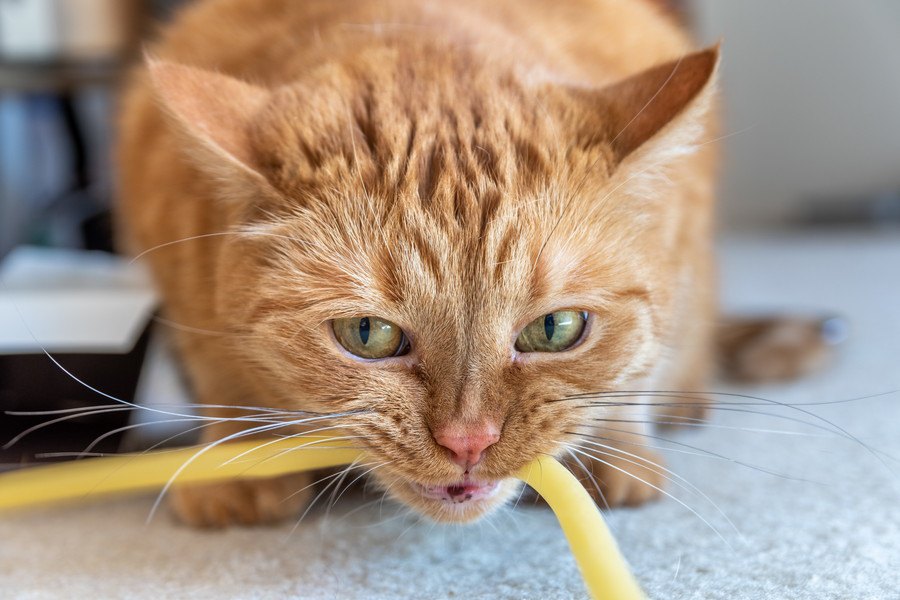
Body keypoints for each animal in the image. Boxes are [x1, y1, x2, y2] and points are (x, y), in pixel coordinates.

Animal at [118, 0, 716, 524]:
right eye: (367, 333)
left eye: (555, 328)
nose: (469, 442)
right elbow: (221, 374)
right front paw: (236, 465)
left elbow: (636, 375)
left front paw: (615, 452)